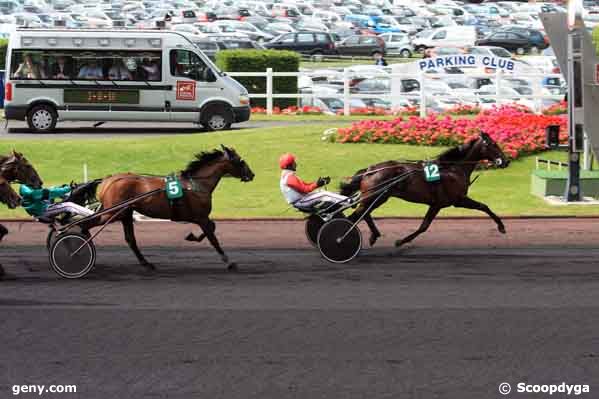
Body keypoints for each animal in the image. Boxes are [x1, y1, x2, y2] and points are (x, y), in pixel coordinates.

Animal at [82, 145, 255, 270]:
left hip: (125, 213)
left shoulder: (199, 217)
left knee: (130, 239)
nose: (252, 174)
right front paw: (228, 261)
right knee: (86, 224)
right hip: (113, 213)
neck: (196, 184)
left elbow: (212, 228)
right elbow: (212, 236)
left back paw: (146, 263)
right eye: (241, 160)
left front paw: (191, 236)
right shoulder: (200, 217)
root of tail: (107, 179)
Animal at [342, 133, 510, 248]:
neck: (453, 169)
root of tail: (369, 170)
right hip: (376, 196)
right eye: (494, 144)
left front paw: (401, 241)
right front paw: (501, 227)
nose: (506, 161)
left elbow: (424, 226)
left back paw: (373, 235)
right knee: (356, 215)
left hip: (377, 197)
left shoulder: (439, 203)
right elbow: (483, 206)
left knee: (363, 213)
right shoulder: (455, 200)